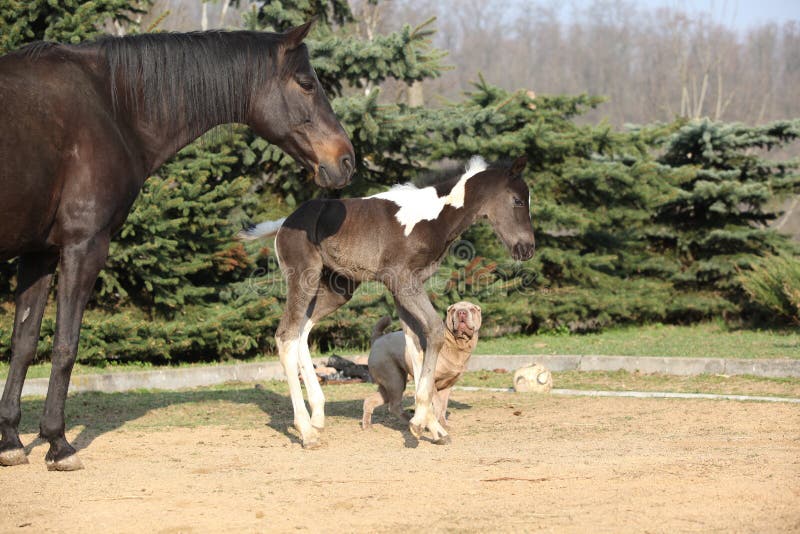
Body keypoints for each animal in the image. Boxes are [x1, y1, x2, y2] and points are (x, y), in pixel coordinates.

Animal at [0, 21, 356, 472]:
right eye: (307, 83)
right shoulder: (84, 246)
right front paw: (58, 443)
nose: (346, 160)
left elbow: (24, 343)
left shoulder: (39, 253)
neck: (110, 105)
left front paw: (11, 440)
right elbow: (65, 345)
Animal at [362, 302, 482, 432]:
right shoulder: (431, 381)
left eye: (472, 309)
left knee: (370, 401)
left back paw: (367, 425)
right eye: (453, 310)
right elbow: (438, 403)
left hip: (389, 385)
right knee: (394, 405)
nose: (461, 312)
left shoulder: (448, 386)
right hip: (395, 380)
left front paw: (443, 425)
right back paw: (409, 421)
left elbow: (444, 406)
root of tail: (377, 339)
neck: (457, 345)